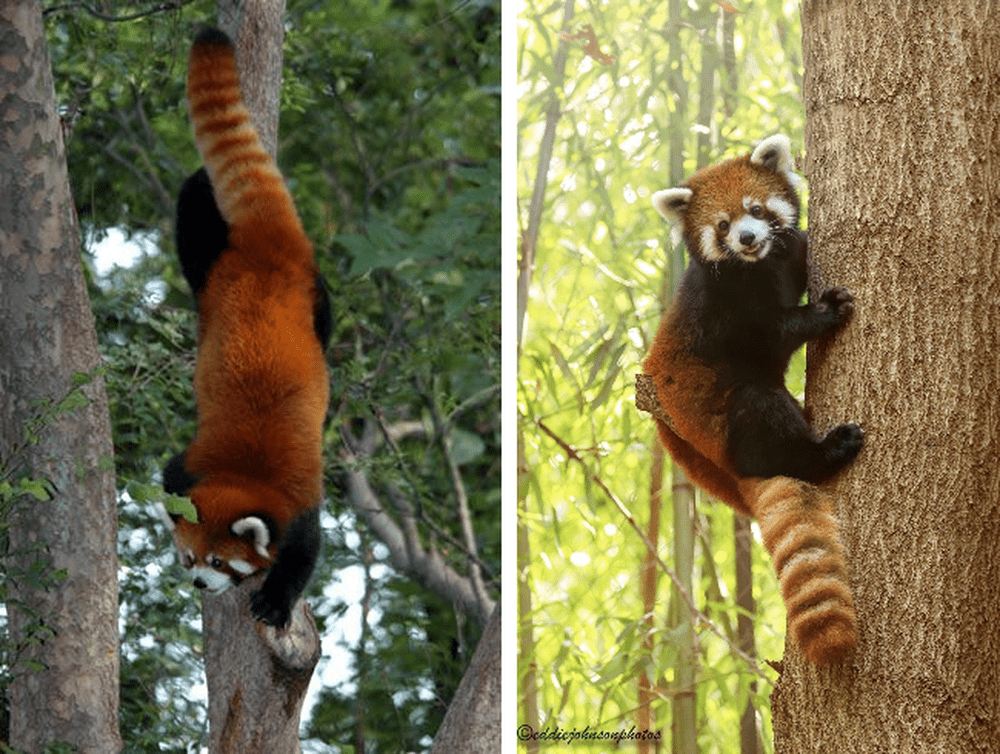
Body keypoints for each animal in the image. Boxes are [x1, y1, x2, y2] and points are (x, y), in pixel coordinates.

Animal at [162, 26, 330, 624]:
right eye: (188, 557)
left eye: (221, 562)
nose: (199, 585)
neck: (244, 471)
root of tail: (267, 248)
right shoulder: (191, 464)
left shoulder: (299, 500)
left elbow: (303, 552)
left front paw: (275, 601)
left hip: (312, 296)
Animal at [644, 135, 864, 664]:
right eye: (722, 225)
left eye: (757, 209)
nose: (746, 238)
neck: (760, 266)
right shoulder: (723, 310)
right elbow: (771, 335)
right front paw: (826, 310)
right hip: (726, 412)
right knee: (763, 412)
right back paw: (826, 449)